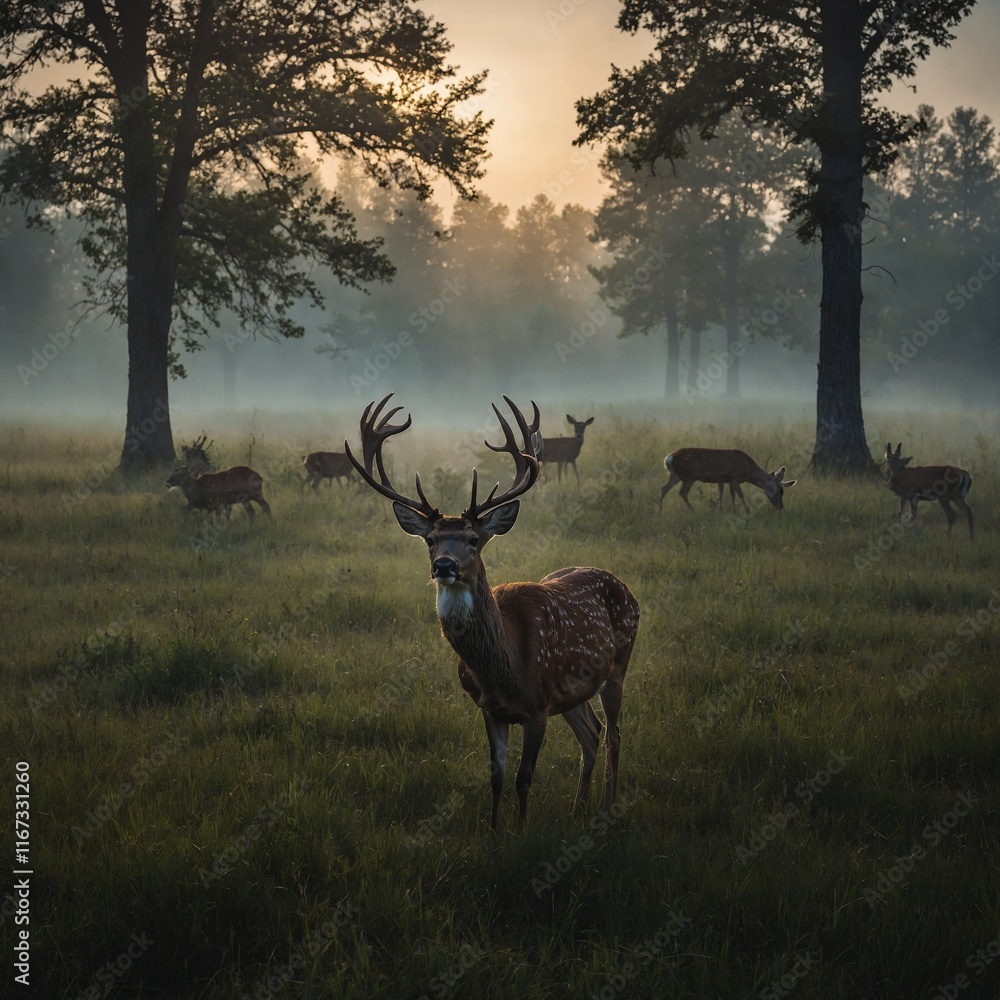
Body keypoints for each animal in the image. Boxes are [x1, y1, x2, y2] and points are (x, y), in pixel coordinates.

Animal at [345, 394, 640, 832]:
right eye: (430, 540)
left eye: (473, 539)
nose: (444, 565)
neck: (505, 666)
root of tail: (626, 589)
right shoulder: (490, 709)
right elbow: (497, 776)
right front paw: (495, 833)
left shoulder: (537, 707)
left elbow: (523, 778)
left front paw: (521, 832)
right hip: (574, 692)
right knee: (591, 732)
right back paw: (577, 810)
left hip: (618, 666)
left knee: (614, 735)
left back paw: (606, 810)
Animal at [659, 448, 797, 513]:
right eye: (780, 490)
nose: (781, 506)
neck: (749, 471)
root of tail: (670, 457)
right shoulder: (734, 477)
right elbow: (739, 495)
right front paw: (747, 511)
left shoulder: (725, 479)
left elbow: (728, 494)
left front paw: (725, 510)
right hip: (689, 476)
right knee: (682, 492)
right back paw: (693, 512)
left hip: (676, 475)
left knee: (664, 488)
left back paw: (660, 512)